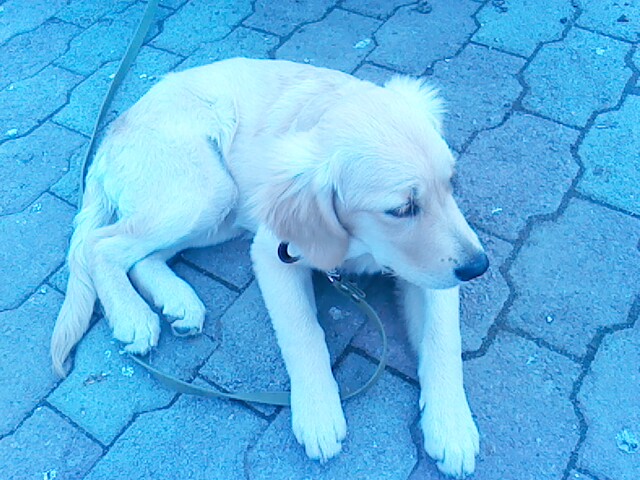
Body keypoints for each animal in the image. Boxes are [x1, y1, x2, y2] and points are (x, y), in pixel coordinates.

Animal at [51, 58, 488, 478]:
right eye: (401, 209)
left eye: (451, 183)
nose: (479, 267)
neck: (359, 244)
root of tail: (111, 133)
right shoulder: (274, 251)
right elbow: (303, 332)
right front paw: (318, 413)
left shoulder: (431, 270)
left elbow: (442, 340)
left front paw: (452, 427)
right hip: (205, 190)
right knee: (100, 244)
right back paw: (133, 316)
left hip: (222, 209)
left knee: (144, 256)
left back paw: (178, 301)